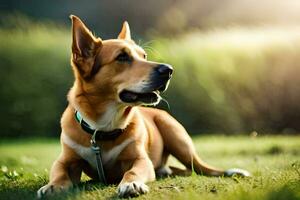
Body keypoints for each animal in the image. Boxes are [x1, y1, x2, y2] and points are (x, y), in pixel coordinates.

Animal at [36, 14, 250, 198]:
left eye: (144, 55)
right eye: (122, 57)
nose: (169, 70)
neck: (104, 127)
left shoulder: (140, 160)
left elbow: (132, 171)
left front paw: (131, 184)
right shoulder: (66, 160)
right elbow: (59, 171)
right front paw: (53, 186)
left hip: (178, 139)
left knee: (200, 168)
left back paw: (232, 171)